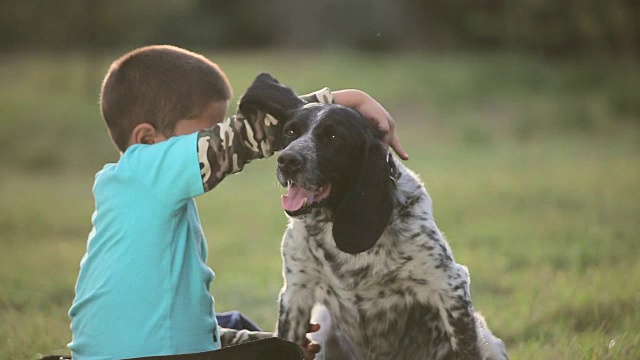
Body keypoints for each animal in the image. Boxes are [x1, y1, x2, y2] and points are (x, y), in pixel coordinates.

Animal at [238, 74, 508, 360]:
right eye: (290, 132)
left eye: (333, 136)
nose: (287, 160)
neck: (332, 221)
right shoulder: (297, 292)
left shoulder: (449, 286)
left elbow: (465, 346)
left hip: (490, 342)